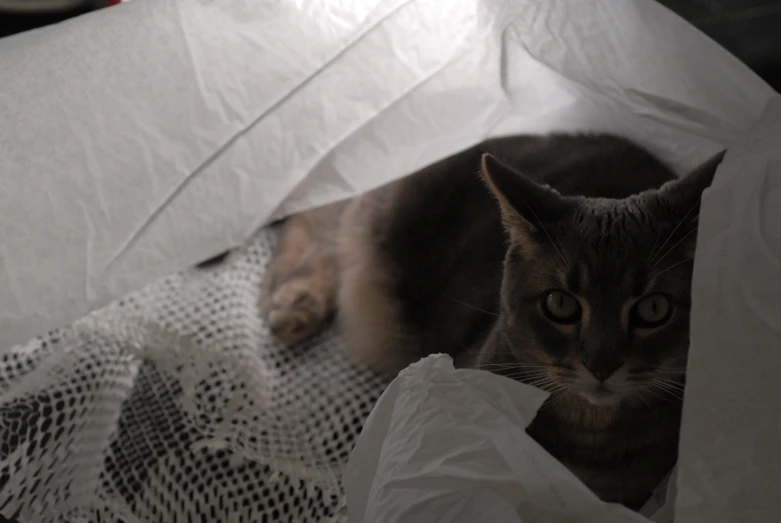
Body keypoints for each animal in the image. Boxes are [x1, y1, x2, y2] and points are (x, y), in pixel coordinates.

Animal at [258, 133, 724, 510]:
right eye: (560, 304)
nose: (602, 366)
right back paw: (295, 304)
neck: (587, 430)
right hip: (382, 225)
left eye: (653, 309)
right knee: (321, 216)